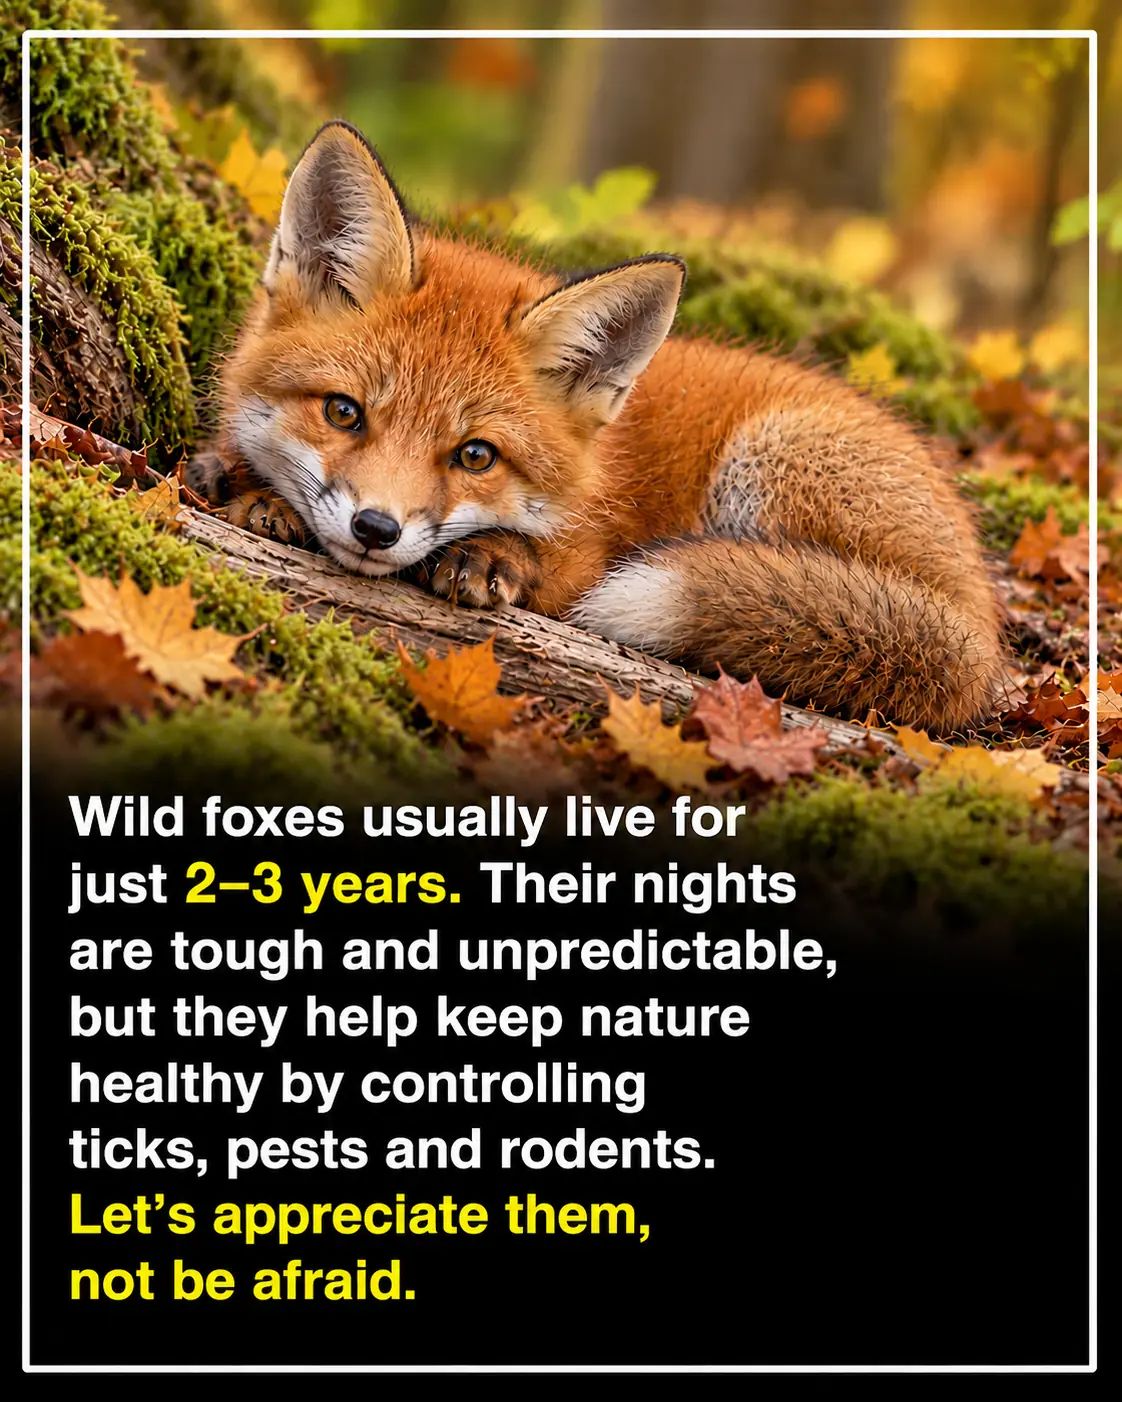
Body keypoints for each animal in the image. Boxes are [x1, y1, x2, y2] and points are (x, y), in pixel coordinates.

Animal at [192, 120, 1006, 732]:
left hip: (768, 461)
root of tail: (981, 615)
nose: (376, 529)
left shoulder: (591, 555)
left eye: (476, 456)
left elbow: (543, 560)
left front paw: (493, 556)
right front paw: (243, 480)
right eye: (344, 412)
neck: (591, 475)